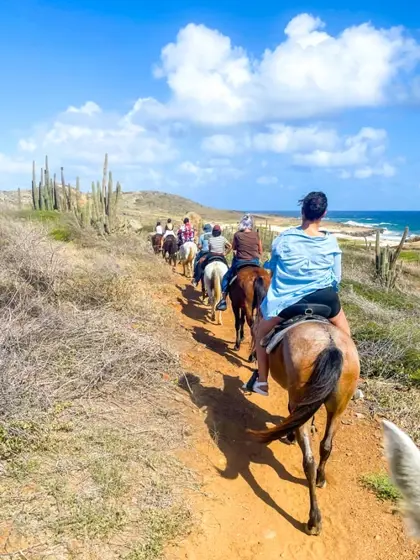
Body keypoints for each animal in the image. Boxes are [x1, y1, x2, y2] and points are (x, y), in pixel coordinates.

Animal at [248, 324, 360, 540]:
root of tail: (330, 343)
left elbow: (292, 411)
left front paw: (290, 436)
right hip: (339, 407)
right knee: (326, 446)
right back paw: (320, 479)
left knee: (308, 459)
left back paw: (313, 520)